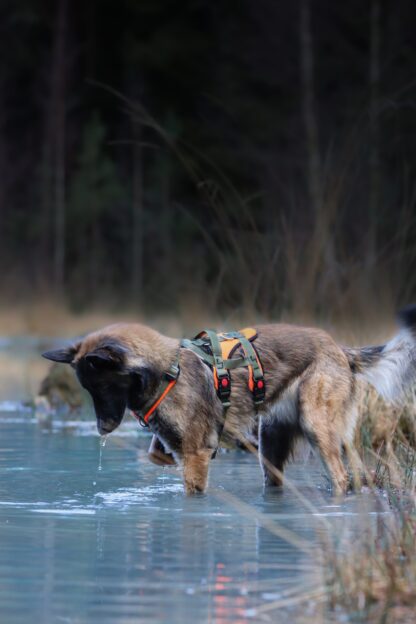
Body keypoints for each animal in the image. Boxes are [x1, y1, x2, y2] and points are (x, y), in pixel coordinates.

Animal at [41, 306, 416, 492]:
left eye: (103, 386)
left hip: (317, 427)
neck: (167, 370)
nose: (102, 429)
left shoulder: (196, 455)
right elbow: (157, 455)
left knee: (341, 477)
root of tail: (340, 350)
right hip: (272, 446)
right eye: (88, 390)